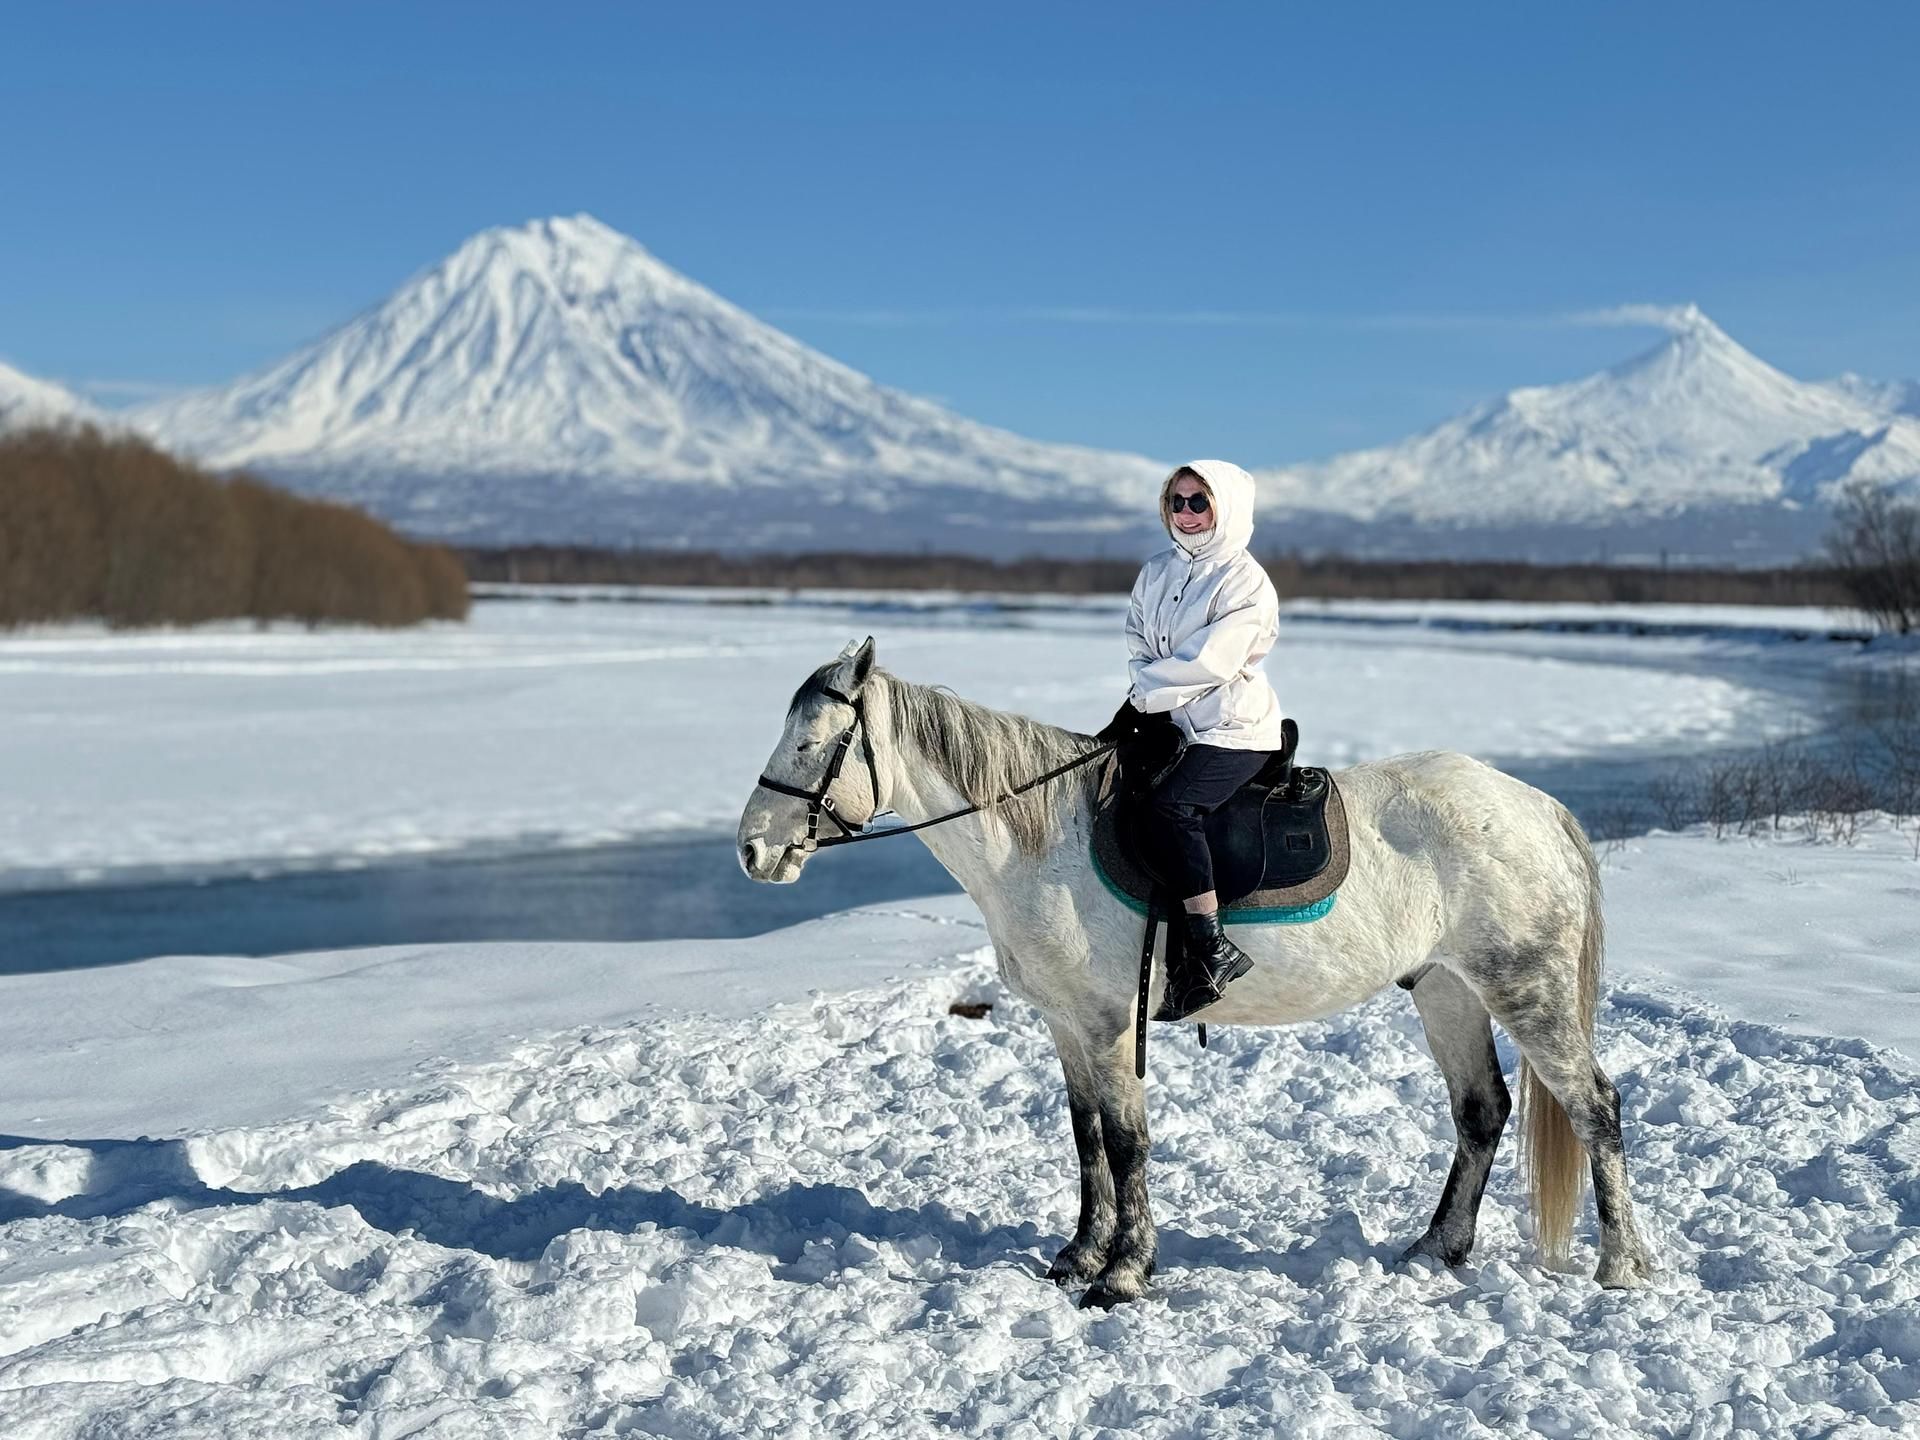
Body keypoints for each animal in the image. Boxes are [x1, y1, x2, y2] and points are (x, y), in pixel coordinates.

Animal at [733, 641, 1651, 1305]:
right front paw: (1078, 1255)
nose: (752, 852)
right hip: (1446, 989)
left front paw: (1123, 1274)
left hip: (1523, 988)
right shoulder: (1068, 1025)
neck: (1041, 839)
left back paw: (1621, 1267)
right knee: (1481, 1111)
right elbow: (1087, 1140)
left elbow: (1127, 1143)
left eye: (815, 743)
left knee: (1595, 1107)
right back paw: (1435, 1249)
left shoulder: (1109, 1023)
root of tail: (1538, 808)